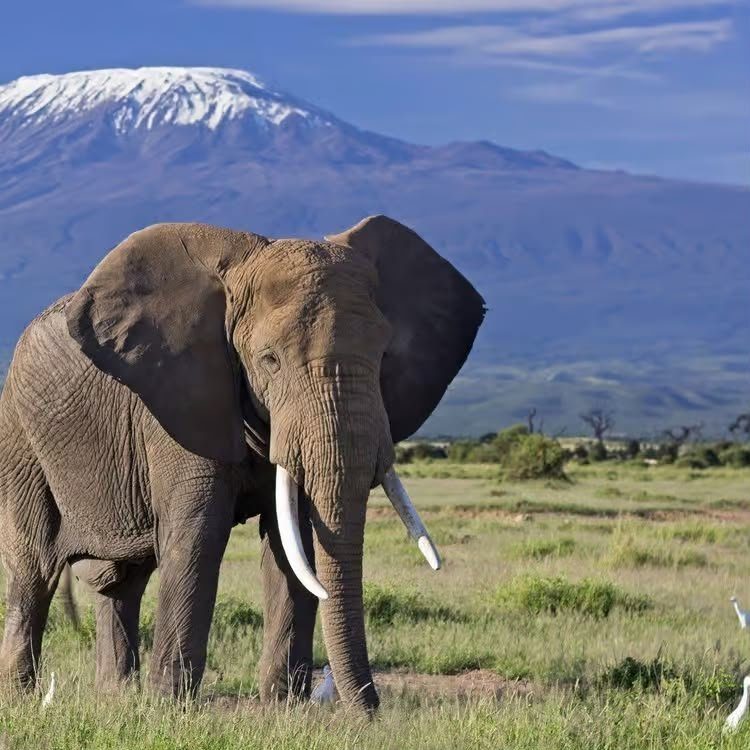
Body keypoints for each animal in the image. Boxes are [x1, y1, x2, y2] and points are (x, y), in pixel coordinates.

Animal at [0, 215, 485, 712]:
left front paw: (283, 709)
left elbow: (294, 541)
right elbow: (200, 534)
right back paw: (22, 697)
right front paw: (170, 709)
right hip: (19, 436)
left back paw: (115, 698)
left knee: (123, 580)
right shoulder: (180, 403)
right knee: (34, 568)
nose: (370, 714)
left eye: (383, 355)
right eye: (269, 360)